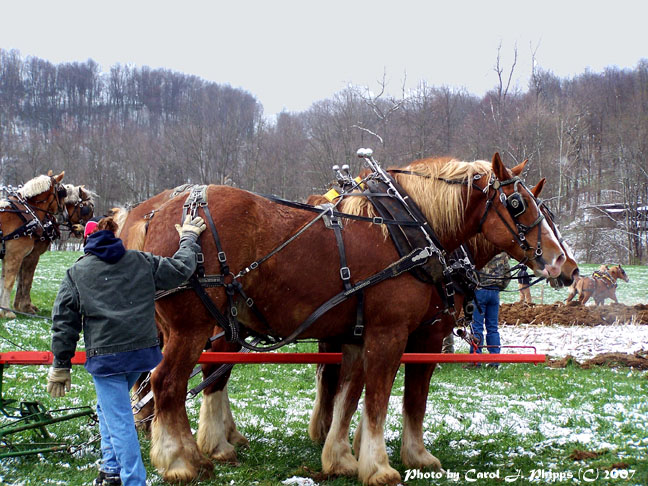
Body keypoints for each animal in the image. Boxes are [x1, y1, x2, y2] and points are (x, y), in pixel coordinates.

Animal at [0, 172, 66, 318]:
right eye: (62, 192)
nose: (64, 213)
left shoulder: (8, 257)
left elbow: (4, 280)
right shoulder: (15, 256)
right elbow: (9, 282)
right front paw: (7, 311)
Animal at [11, 184, 95, 314]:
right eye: (86, 210)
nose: (86, 229)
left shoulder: (24, 254)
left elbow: (21, 280)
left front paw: (18, 306)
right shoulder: (32, 254)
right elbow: (27, 279)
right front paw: (26, 307)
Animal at [119, 153, 564, 486]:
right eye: (518, 204)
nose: (563, 263)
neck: (409, 231)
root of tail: (153, 212)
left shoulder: (354, 334)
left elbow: (350, 395)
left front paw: (341, 457)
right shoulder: (398, 333)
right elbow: (391, 397)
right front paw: (386, 464)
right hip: (194, 328)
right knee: (168, 384)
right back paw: (182, 461)